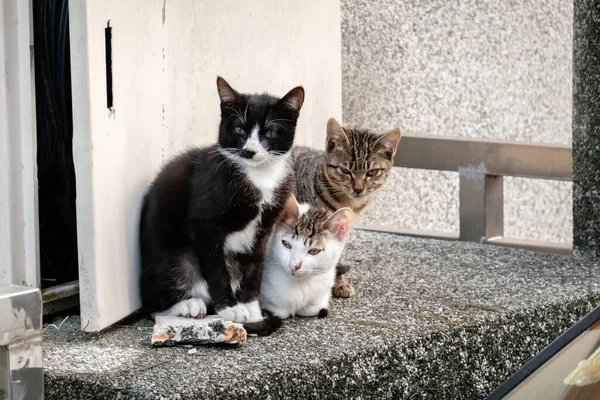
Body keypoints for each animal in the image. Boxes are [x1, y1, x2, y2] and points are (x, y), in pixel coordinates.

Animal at [140, 76, 304, 336]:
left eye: (270, 131)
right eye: (239, 129)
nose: (250, 150)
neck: (259, 177)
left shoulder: (264, 228)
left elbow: (254, 266)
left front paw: (251, 308)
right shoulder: (204, 224)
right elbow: (217, 269)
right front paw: (229, 309)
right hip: (173, 255)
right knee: (155, 298)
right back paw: (188, 304)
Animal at [292, 118, 400, 296]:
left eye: (372, 172)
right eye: (345, 170)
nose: (358, 189)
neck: (347, 203)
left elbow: (337, 254)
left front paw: (339, 283)